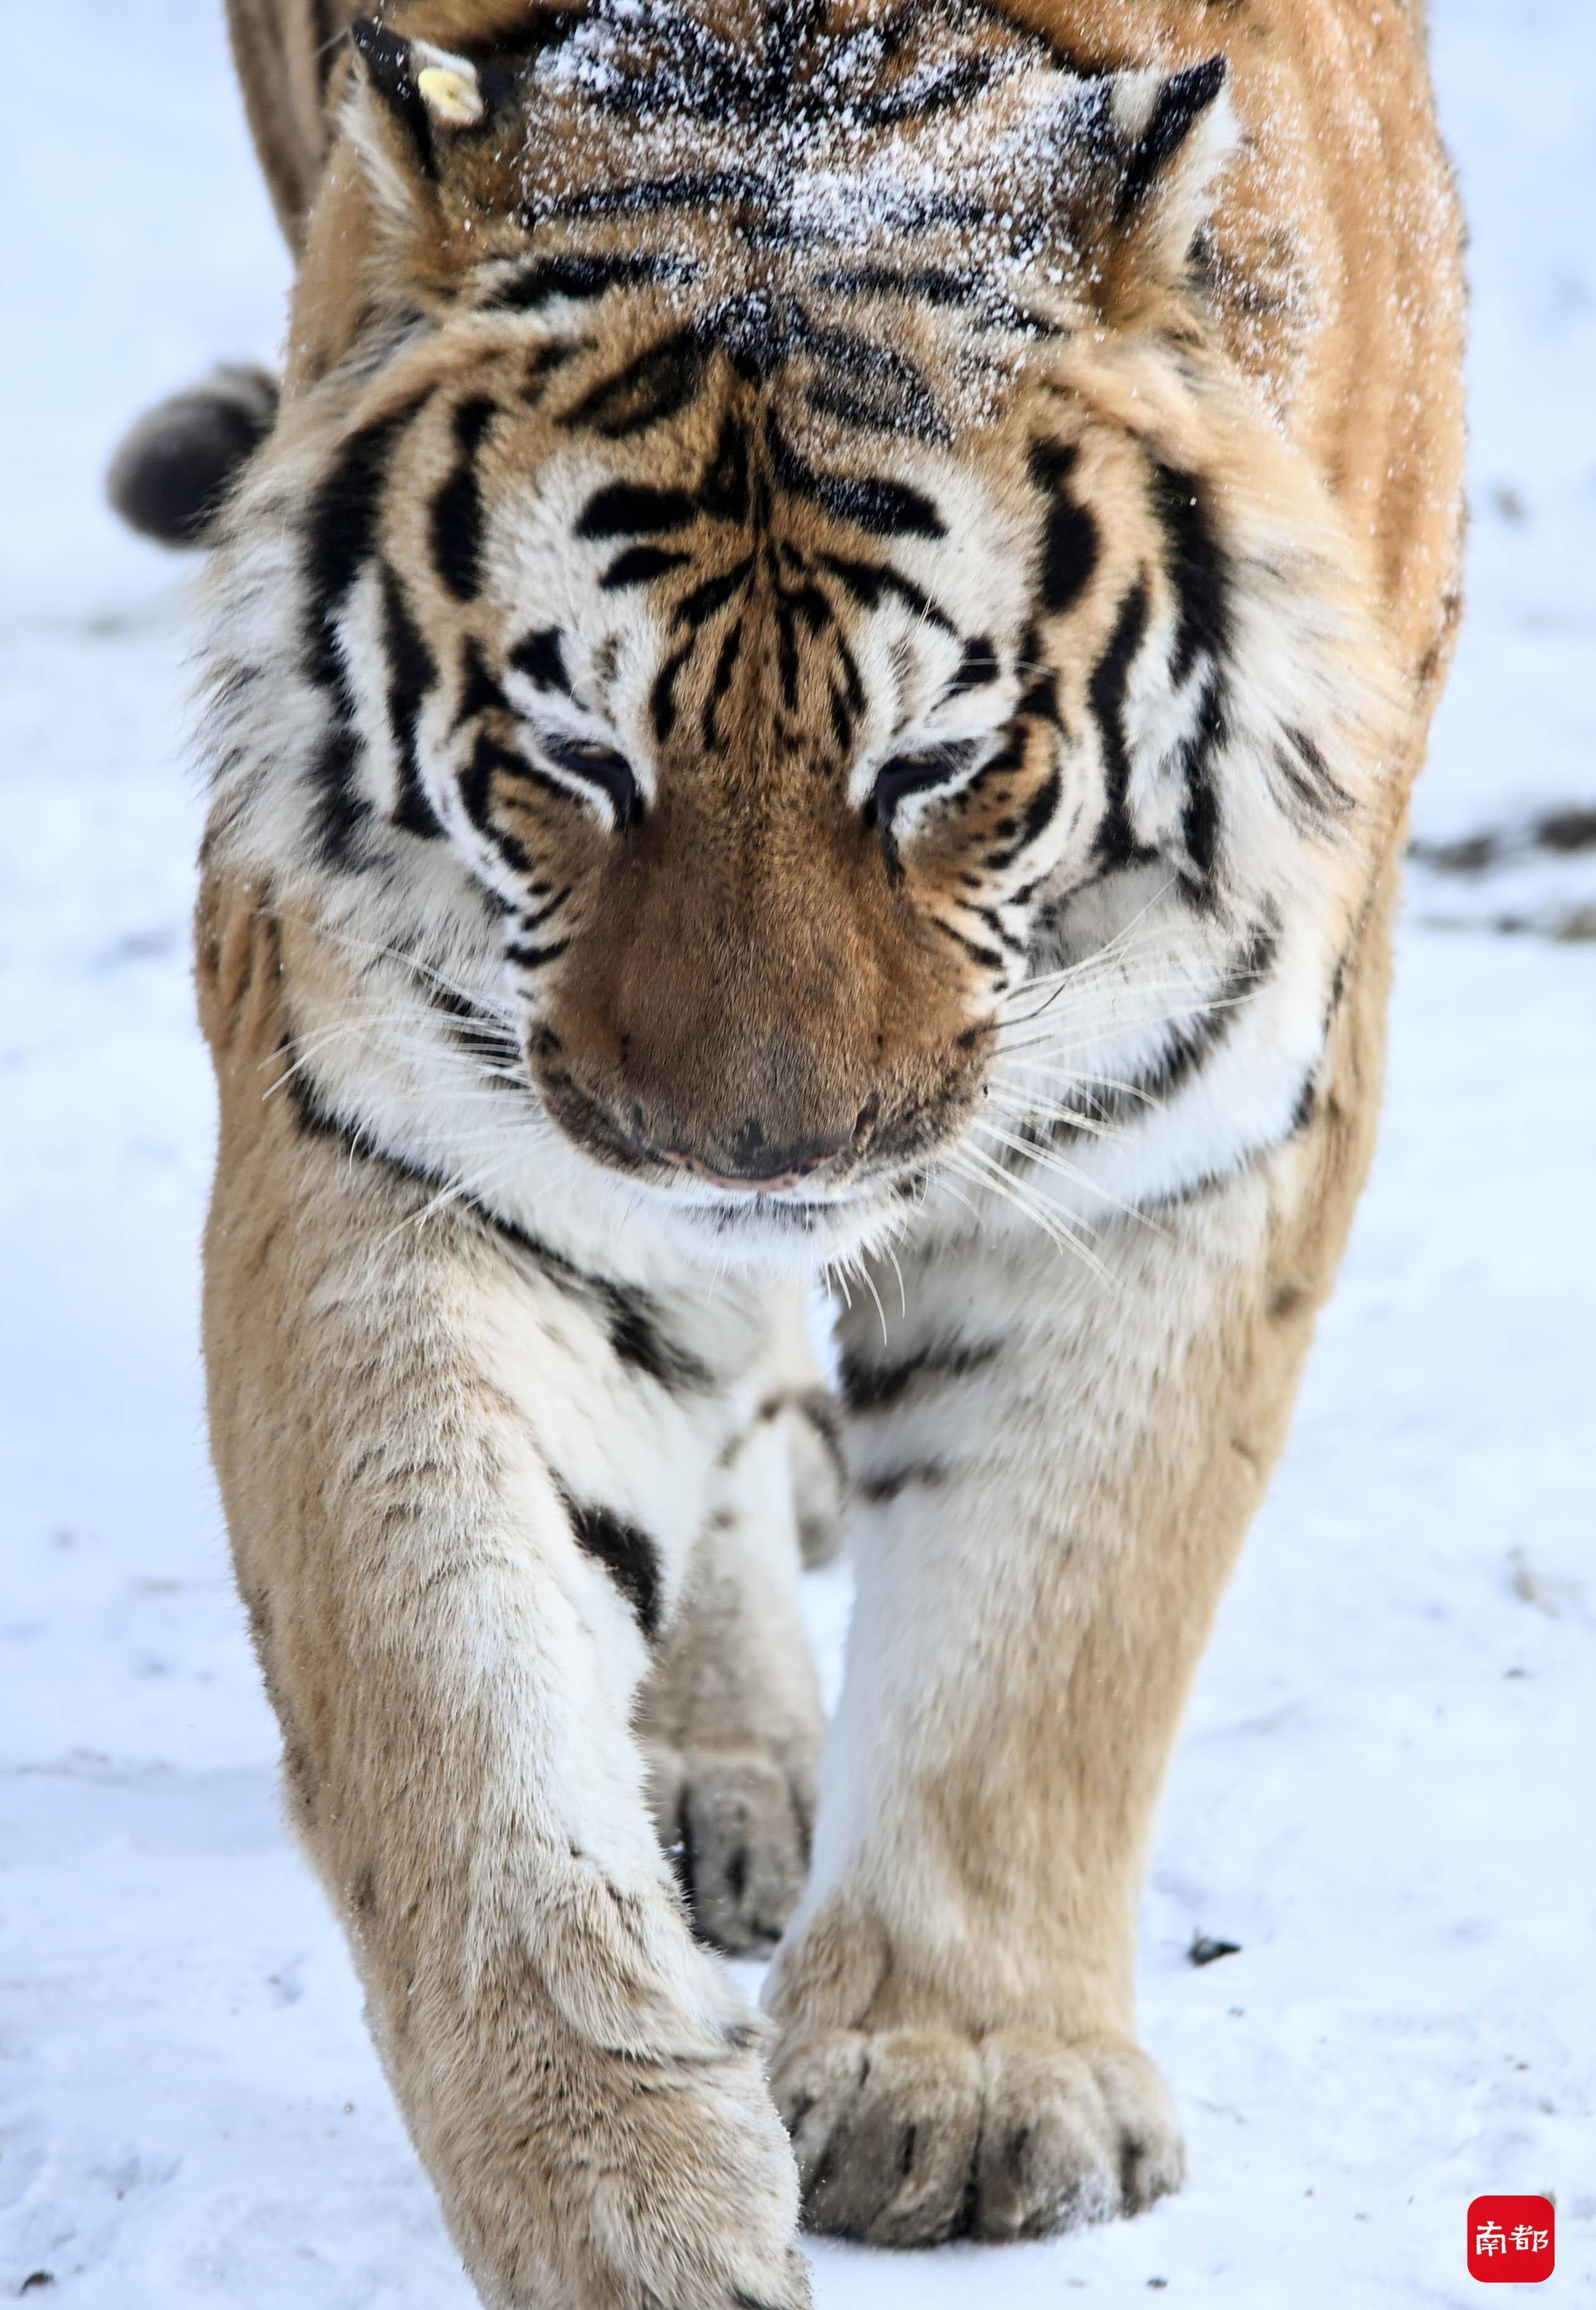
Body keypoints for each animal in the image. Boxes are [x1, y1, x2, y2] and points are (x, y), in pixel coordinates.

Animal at [106, 0, 1468, 2301]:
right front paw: (626, 2209)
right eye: (575, 756)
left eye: (937, 766)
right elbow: (460, 1720)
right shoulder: (402, 1141)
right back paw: (715, 1766)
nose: (755, 1145)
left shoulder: (1181, 1142)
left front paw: (962, 2088)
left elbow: (1048, 1629)